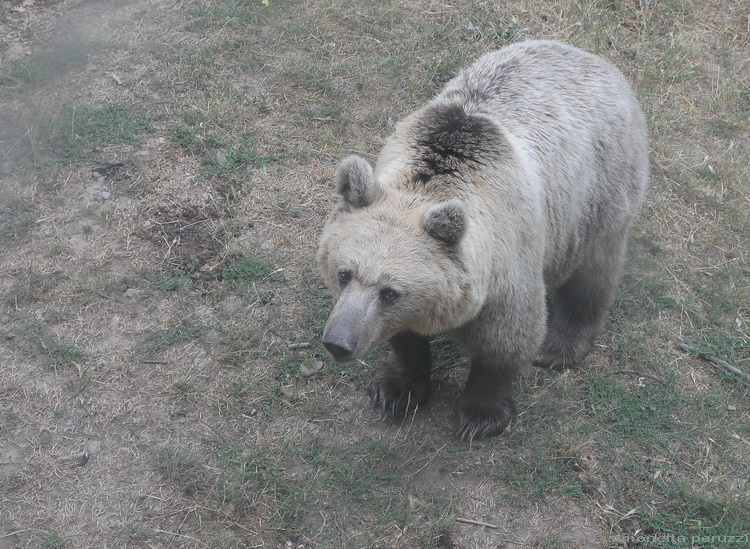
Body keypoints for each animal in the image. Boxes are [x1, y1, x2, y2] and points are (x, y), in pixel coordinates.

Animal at [314, 39, 648, 440]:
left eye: (390, 291)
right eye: (344, 273)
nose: (338, 342)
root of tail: (591, 57)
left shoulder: (508, 262)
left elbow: (505, 340)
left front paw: (479, 416)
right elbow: (405, 340)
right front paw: (395, 389)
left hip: (597, 192)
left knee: (592, 273)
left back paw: (561, 347)